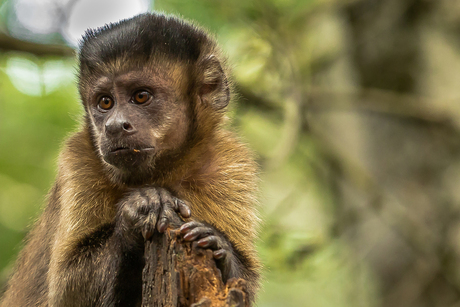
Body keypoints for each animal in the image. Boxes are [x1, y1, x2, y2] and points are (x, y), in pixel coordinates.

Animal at [0, 12, 258, 307]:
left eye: (141, 96)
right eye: (105, 102)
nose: (113, 126)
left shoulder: (230, 162)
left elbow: (243, 288)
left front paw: (218, 245)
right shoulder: (77, 158)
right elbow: (66, 293)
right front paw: (140, 208)